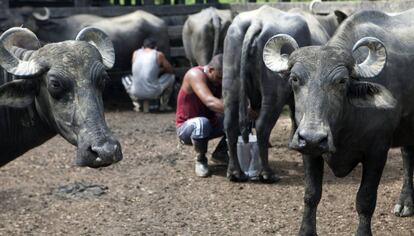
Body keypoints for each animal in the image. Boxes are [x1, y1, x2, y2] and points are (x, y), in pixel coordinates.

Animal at [222, 5, 344, 183]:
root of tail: (257, 21)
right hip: (274, 94)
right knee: (262, 126)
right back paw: (267, 173)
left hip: (231, 86)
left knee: (230, 124)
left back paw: (235, 172)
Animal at [264, 9, 412, 236]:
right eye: (295, 79)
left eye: (342, 81)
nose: (314, 137)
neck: (344, 127)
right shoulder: (309, 151)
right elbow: (311, 195)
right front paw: (306, 231)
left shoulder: (377, 152)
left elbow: (365, 199)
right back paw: (406, 203)